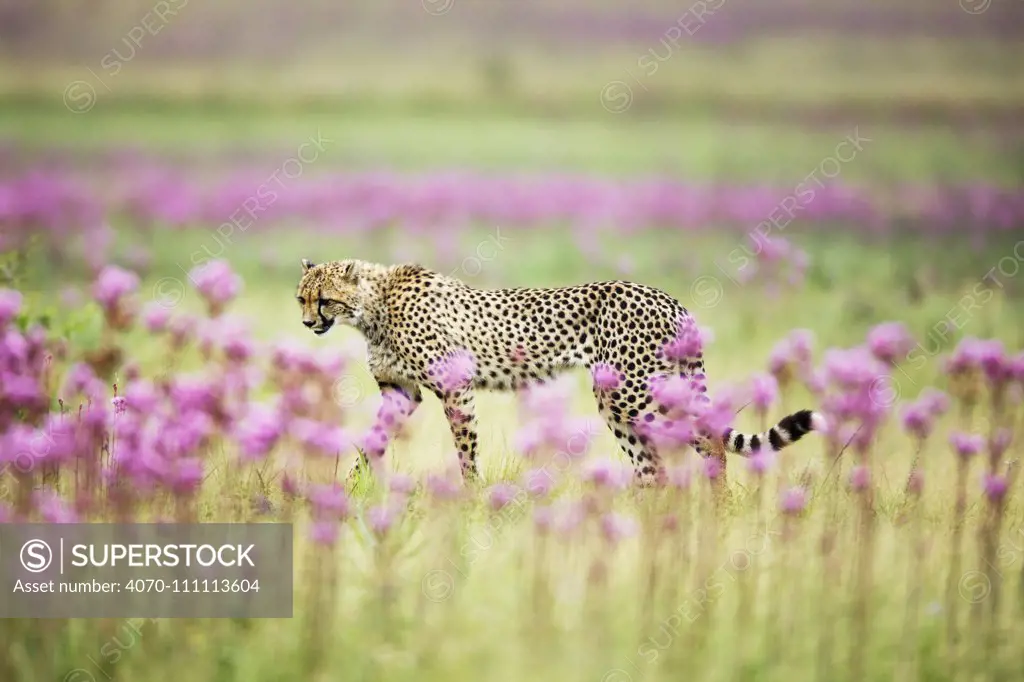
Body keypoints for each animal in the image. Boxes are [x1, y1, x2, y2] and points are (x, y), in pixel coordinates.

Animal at [296, 256, 823, 483]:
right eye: (302, 298)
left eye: (324, 299)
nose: (307, 323)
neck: (373, 305)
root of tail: (667, 297)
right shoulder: (400, 393)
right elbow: (371, 443)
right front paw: (350, 490)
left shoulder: (455, 386)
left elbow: (466, 452)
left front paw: (471, 499)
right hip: (621, 401)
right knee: (651, 463)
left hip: (634, 393)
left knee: (706, 439)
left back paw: (715, 508)